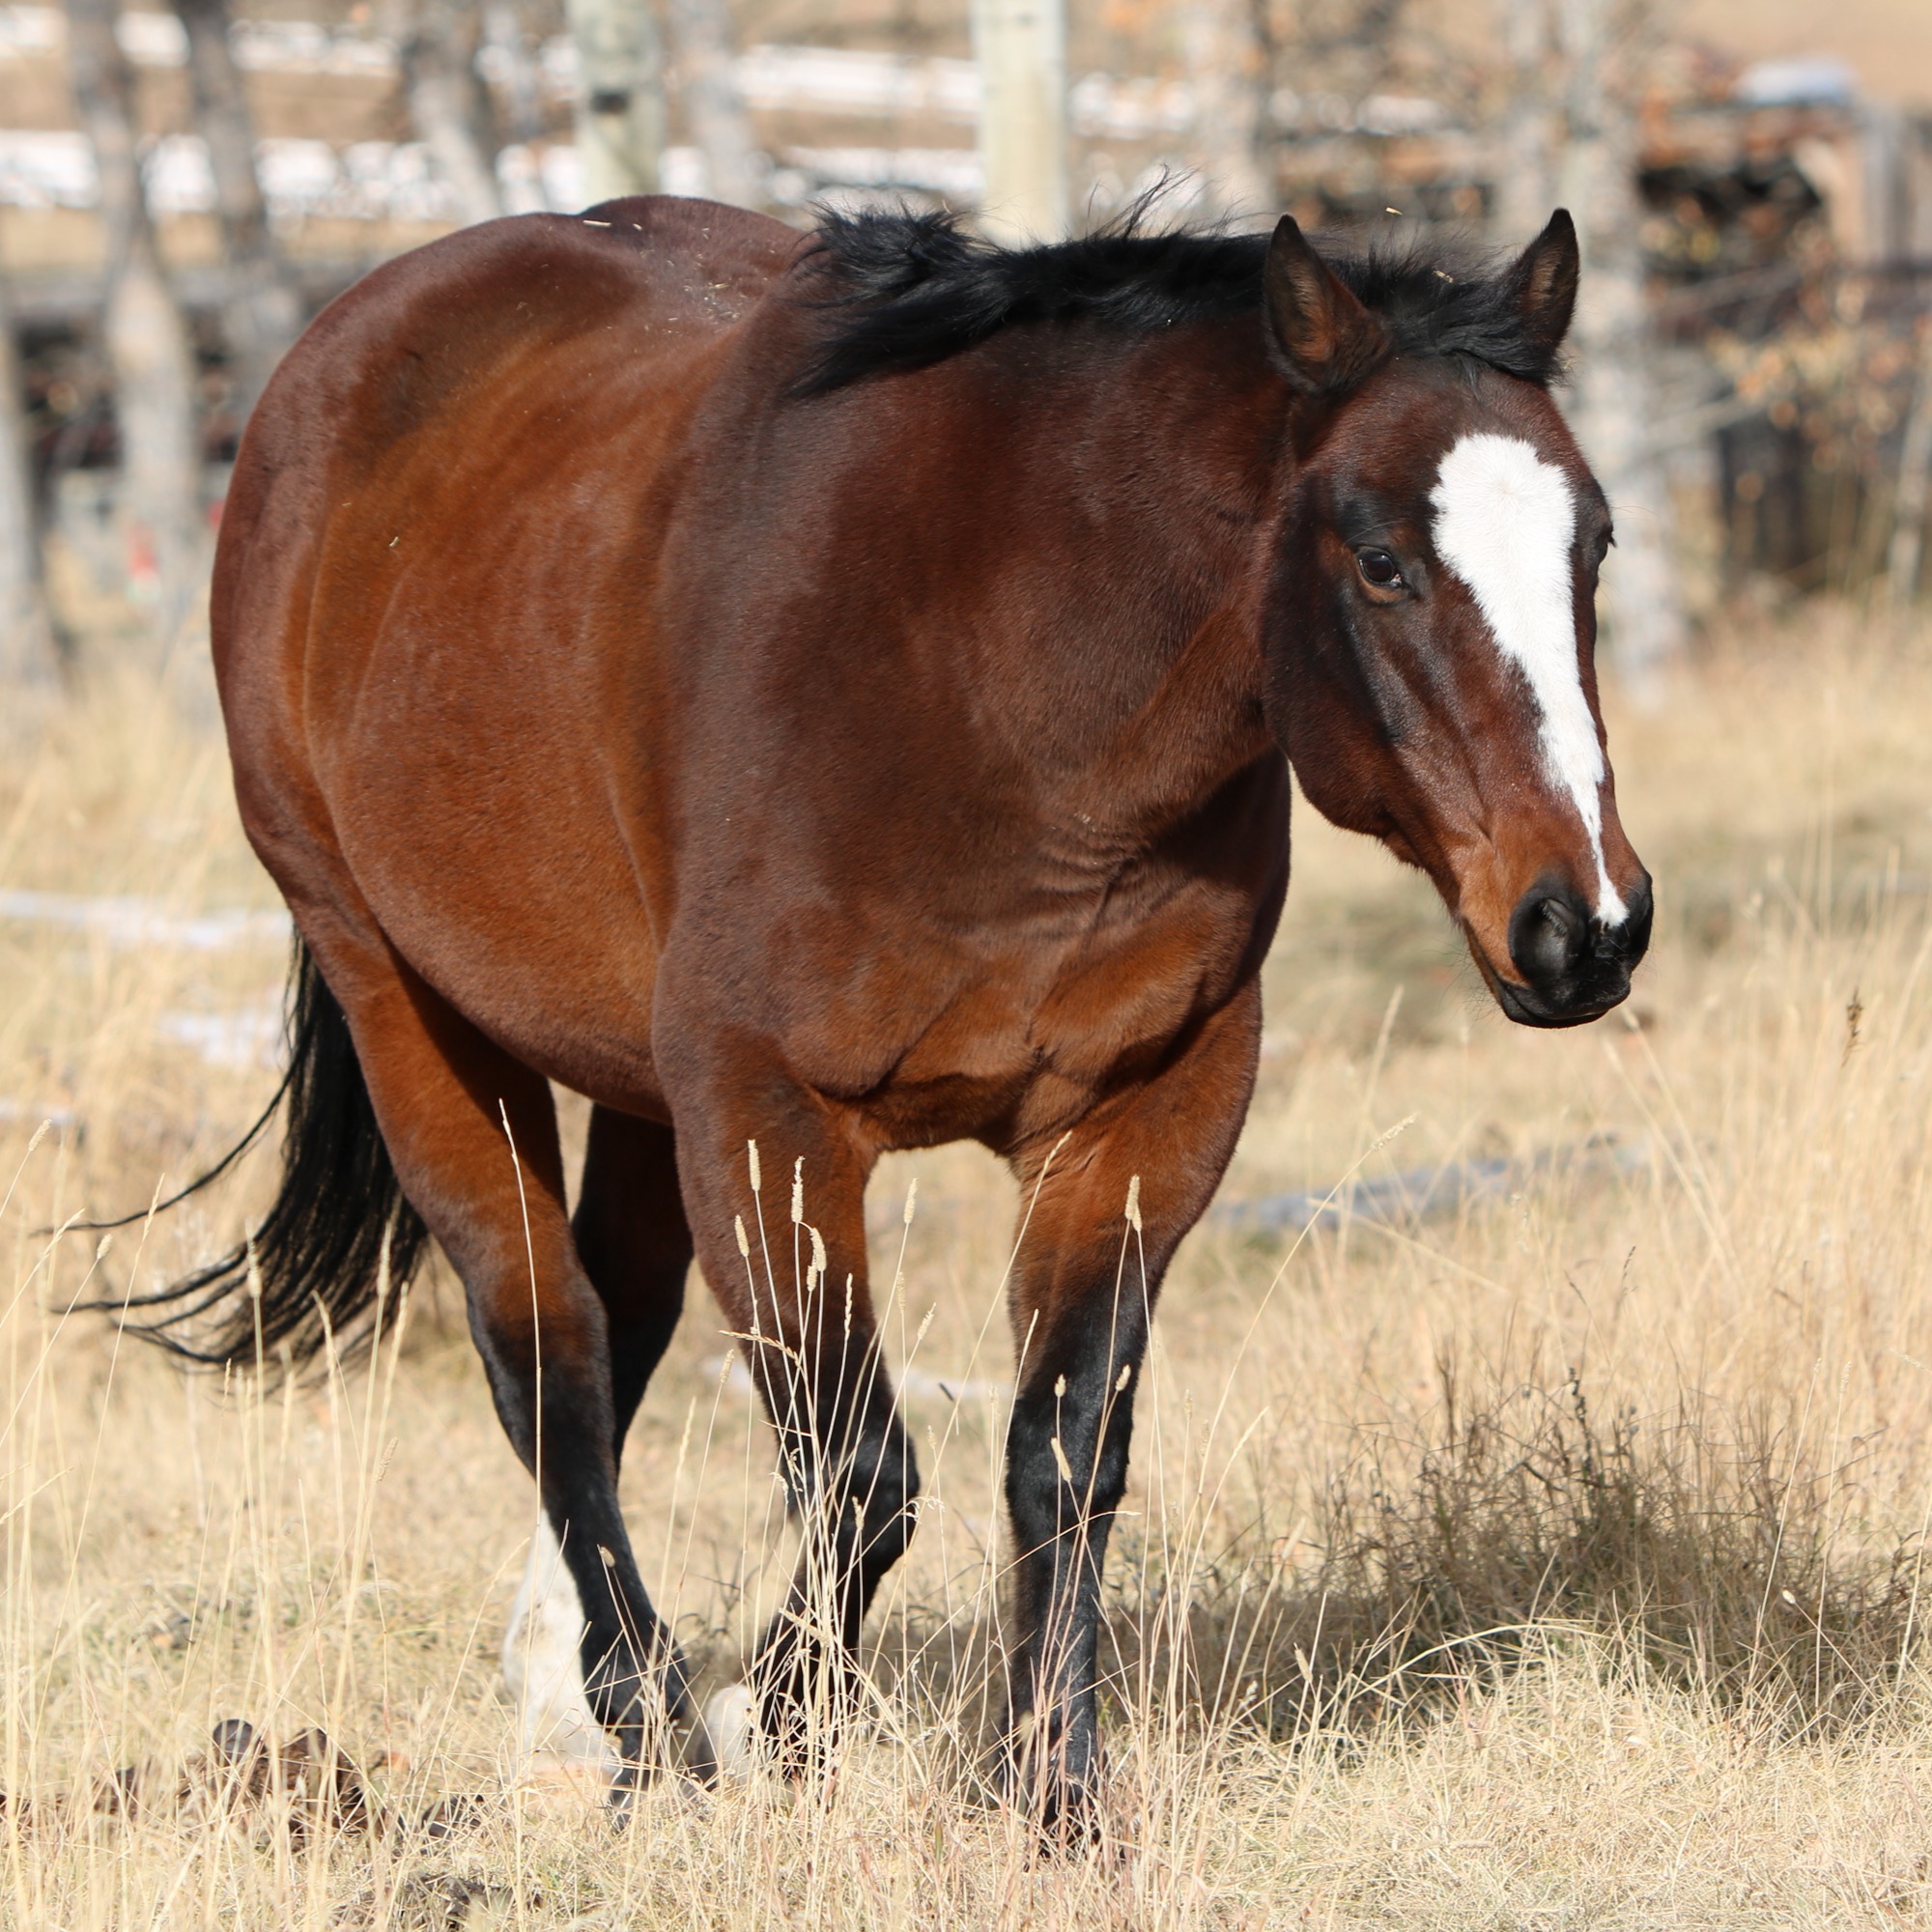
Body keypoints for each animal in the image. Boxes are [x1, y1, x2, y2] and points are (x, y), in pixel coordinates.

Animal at [116, 194, 1651, 1830]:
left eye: (1595, 542)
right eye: (1379, 561)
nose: (1586, 925)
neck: (992, 690)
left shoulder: (1144, 1115)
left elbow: (1064, 1454)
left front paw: (1056, 1790)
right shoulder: (770, 1119)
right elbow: (860, 1475)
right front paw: (767, 1726)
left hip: (643, 1088)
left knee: (619, 1327)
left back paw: (566, 1683)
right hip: (404, 997)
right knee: (548, 1345)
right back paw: (640, 1705)